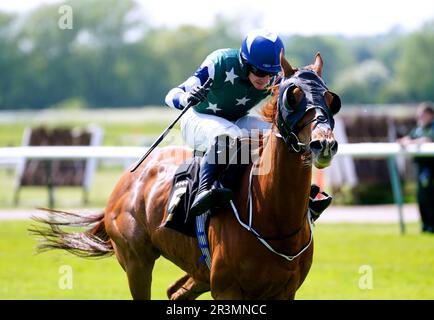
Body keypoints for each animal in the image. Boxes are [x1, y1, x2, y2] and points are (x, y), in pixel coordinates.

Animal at [32, 52, 340, 300]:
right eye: (292, 97)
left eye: (330, 99)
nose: (323, 143)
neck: (273, 218)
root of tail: (126, 181)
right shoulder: (227, 289)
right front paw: (191, 95)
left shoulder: (285, 290)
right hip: (136, 262)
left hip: (198, 271)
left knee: (175, 292)